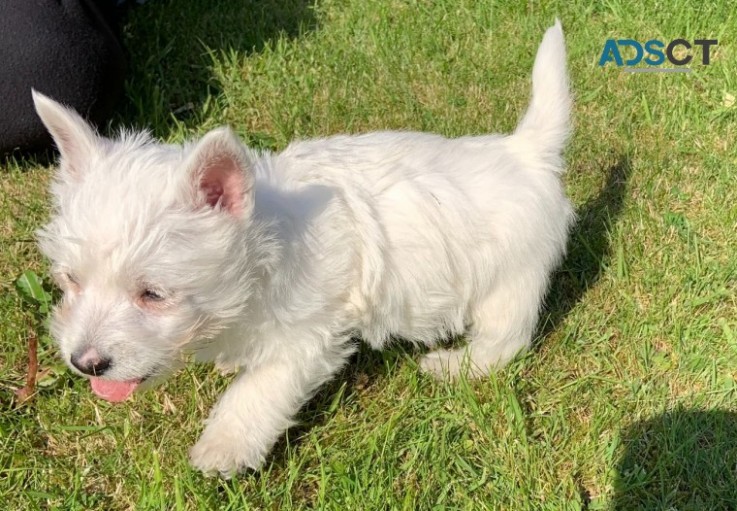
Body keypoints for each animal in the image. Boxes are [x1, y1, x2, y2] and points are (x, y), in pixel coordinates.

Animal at [34, 20, 572, 476]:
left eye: (153, 294)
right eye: (71, 280)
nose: (85, 363)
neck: (263, 249)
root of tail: (524, 152)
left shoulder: (306, 338)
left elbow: (255, 392)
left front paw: (222, 449)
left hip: (509, 282)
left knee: (506, 341)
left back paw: (454, 366)